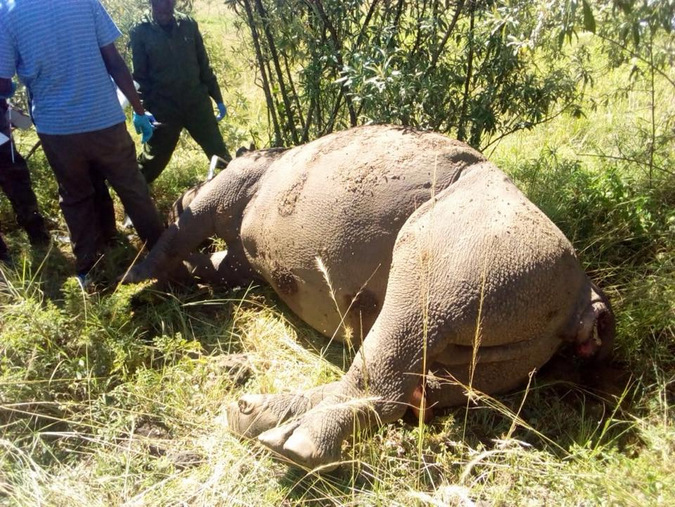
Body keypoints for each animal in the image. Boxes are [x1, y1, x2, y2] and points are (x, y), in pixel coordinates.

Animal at [124, 124, 616, 472]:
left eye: (185, 191)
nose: (180, 195)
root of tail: (582, 299)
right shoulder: (241, 262)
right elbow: (213, 263)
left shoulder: (227, 187)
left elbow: (178, 234)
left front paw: (131, 284)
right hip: (510, 332)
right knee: (418, 380)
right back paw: (252, 416)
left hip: (469, 256)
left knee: (396, 344)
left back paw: (290, 445)